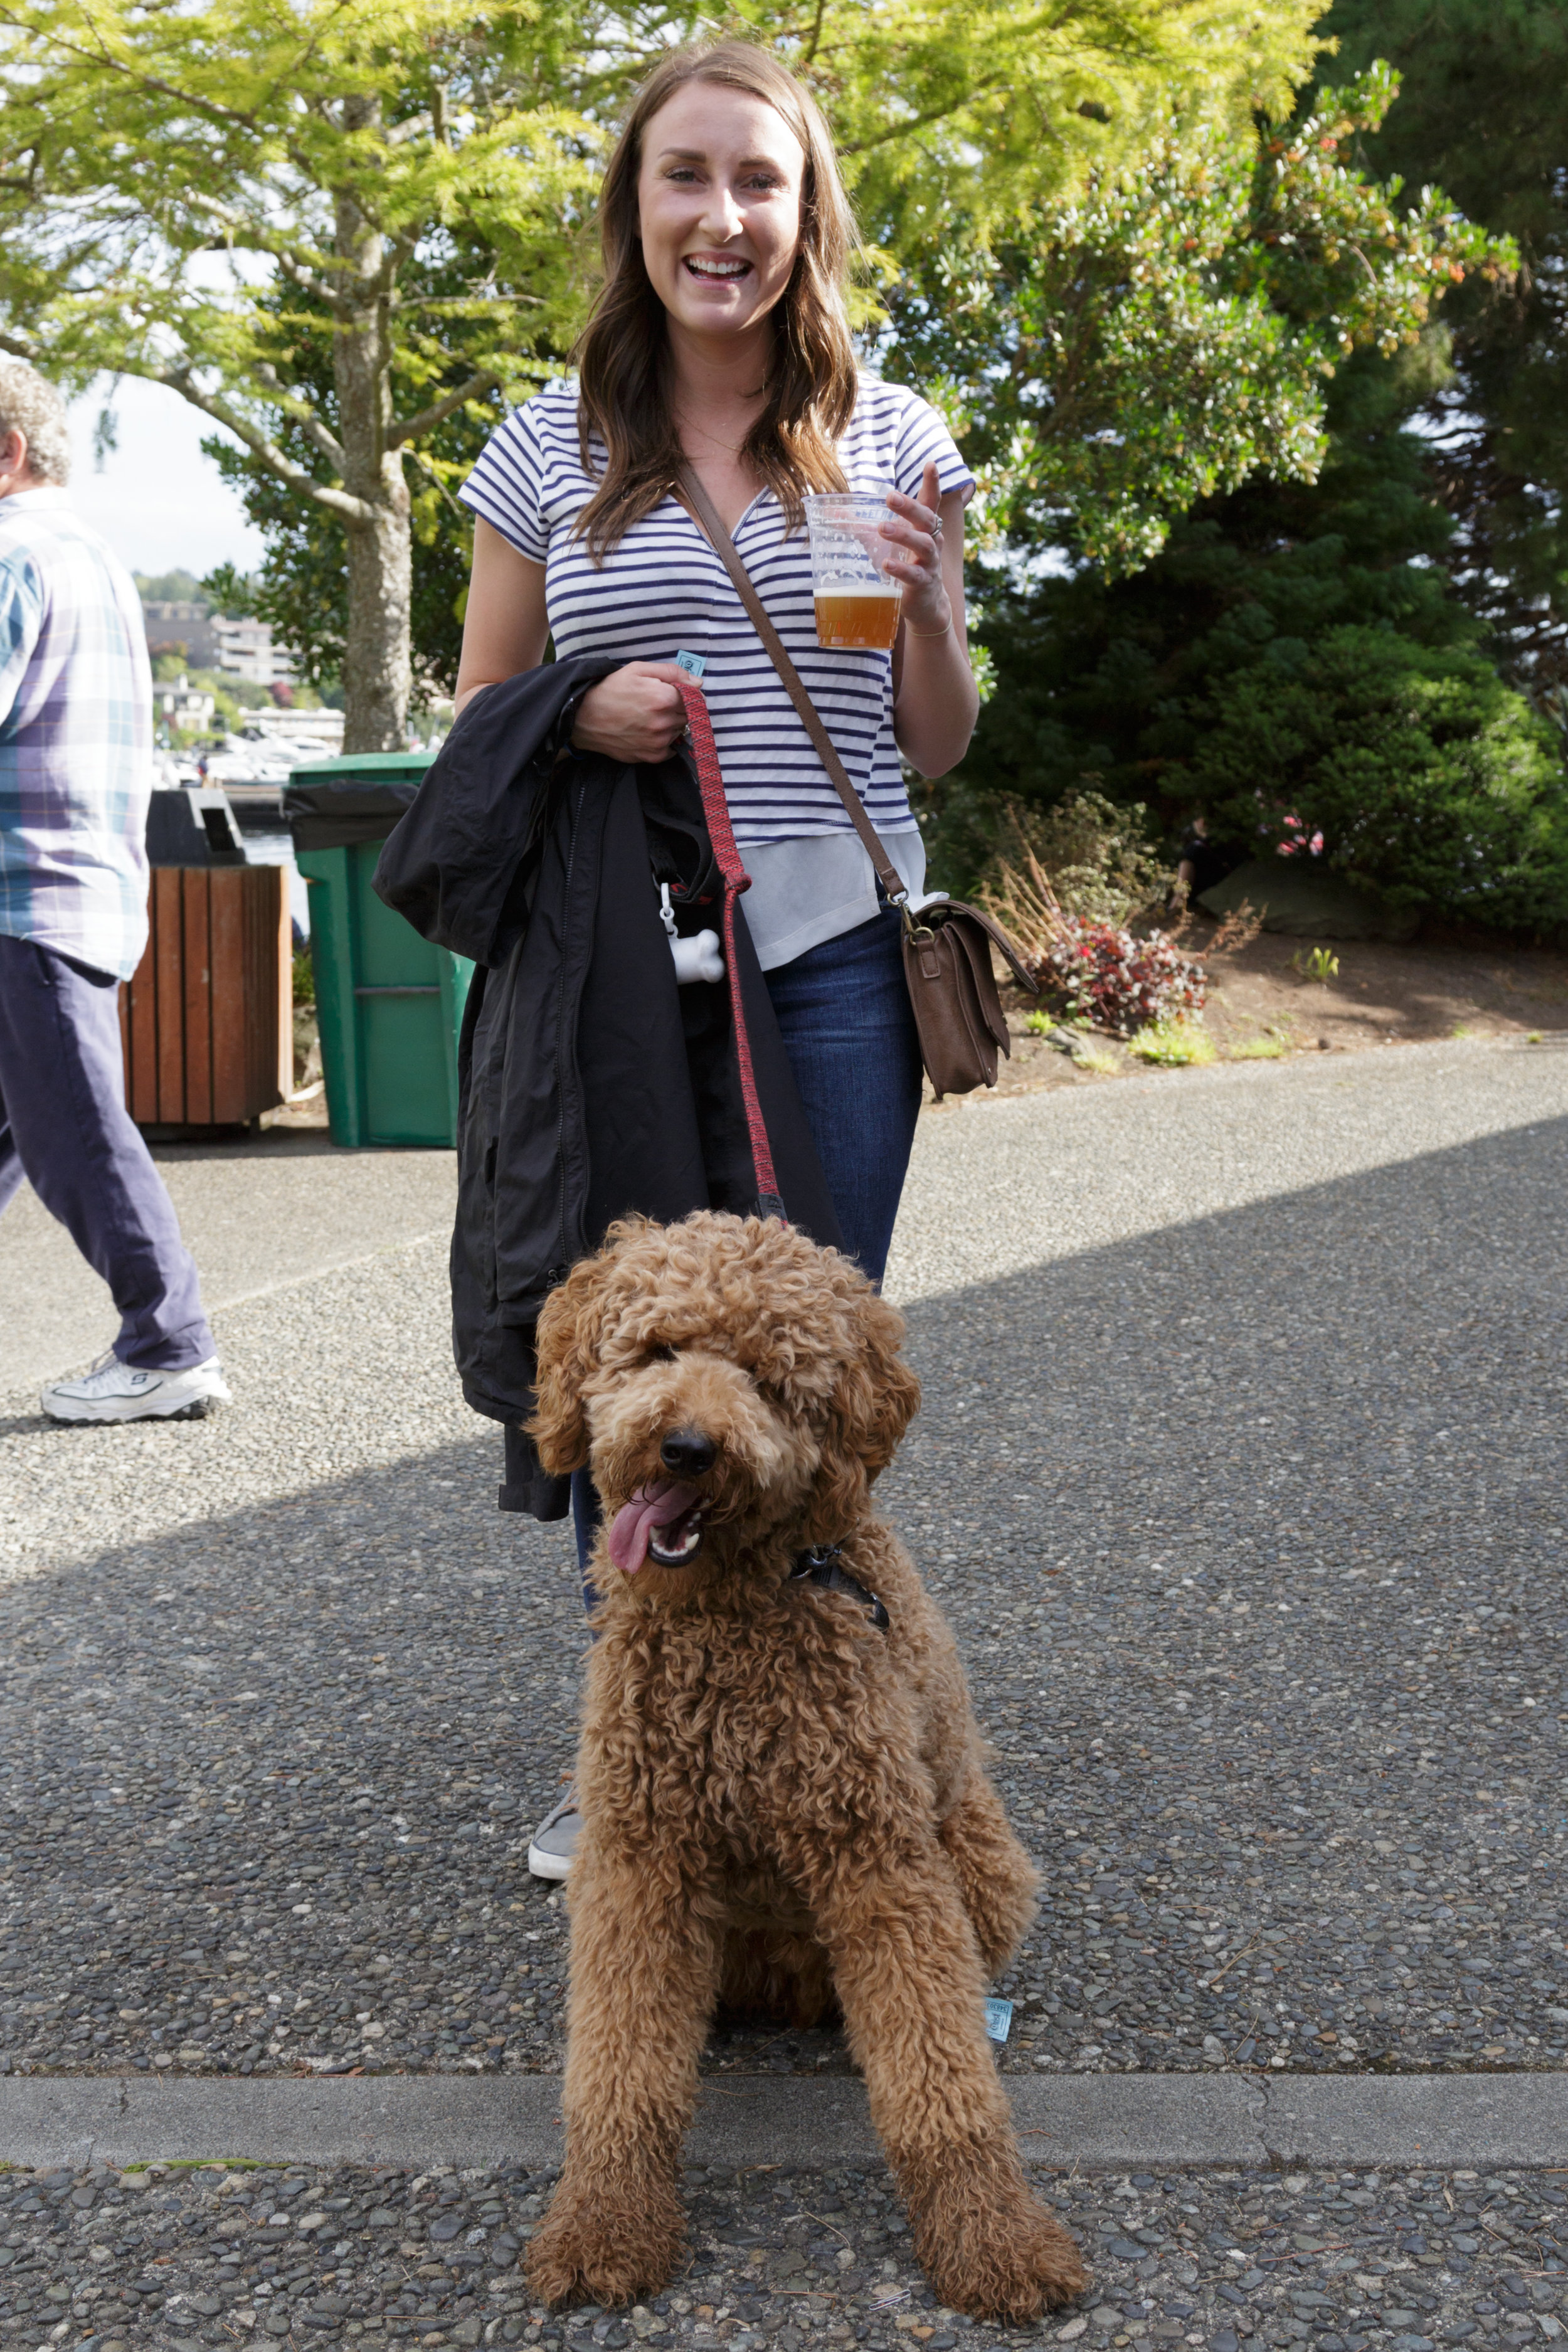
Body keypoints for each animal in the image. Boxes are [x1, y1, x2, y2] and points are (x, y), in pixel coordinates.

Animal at [522, 1223, 1086, 2324]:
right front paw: (604, 2224)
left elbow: (940, 2079)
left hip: (981, 1864)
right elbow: (618, 2070)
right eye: (656, 1350)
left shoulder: (882, 1862)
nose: (686, 1446)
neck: (731, 1614)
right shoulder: (639, 1861)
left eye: (770, 1378)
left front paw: (993, 2235)